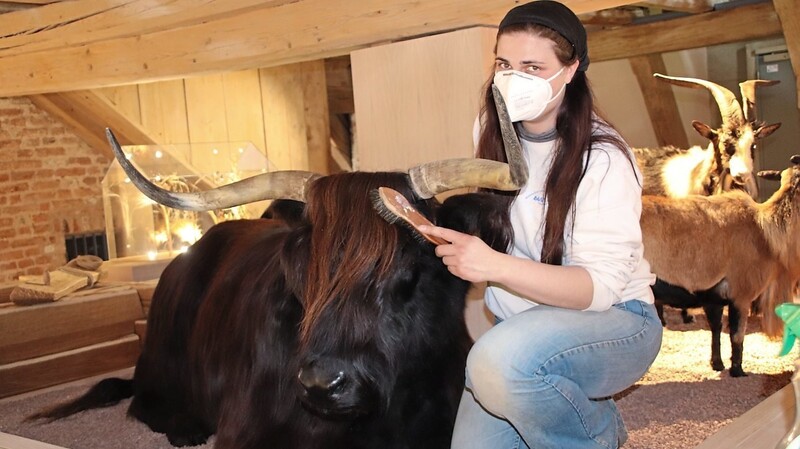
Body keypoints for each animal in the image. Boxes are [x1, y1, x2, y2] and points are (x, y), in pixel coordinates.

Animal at [31, 88, 528, 448]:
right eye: (302, 266)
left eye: (408, 268)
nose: (322, 384)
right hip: (160, 367)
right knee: (142, 399)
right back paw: (185, 428)